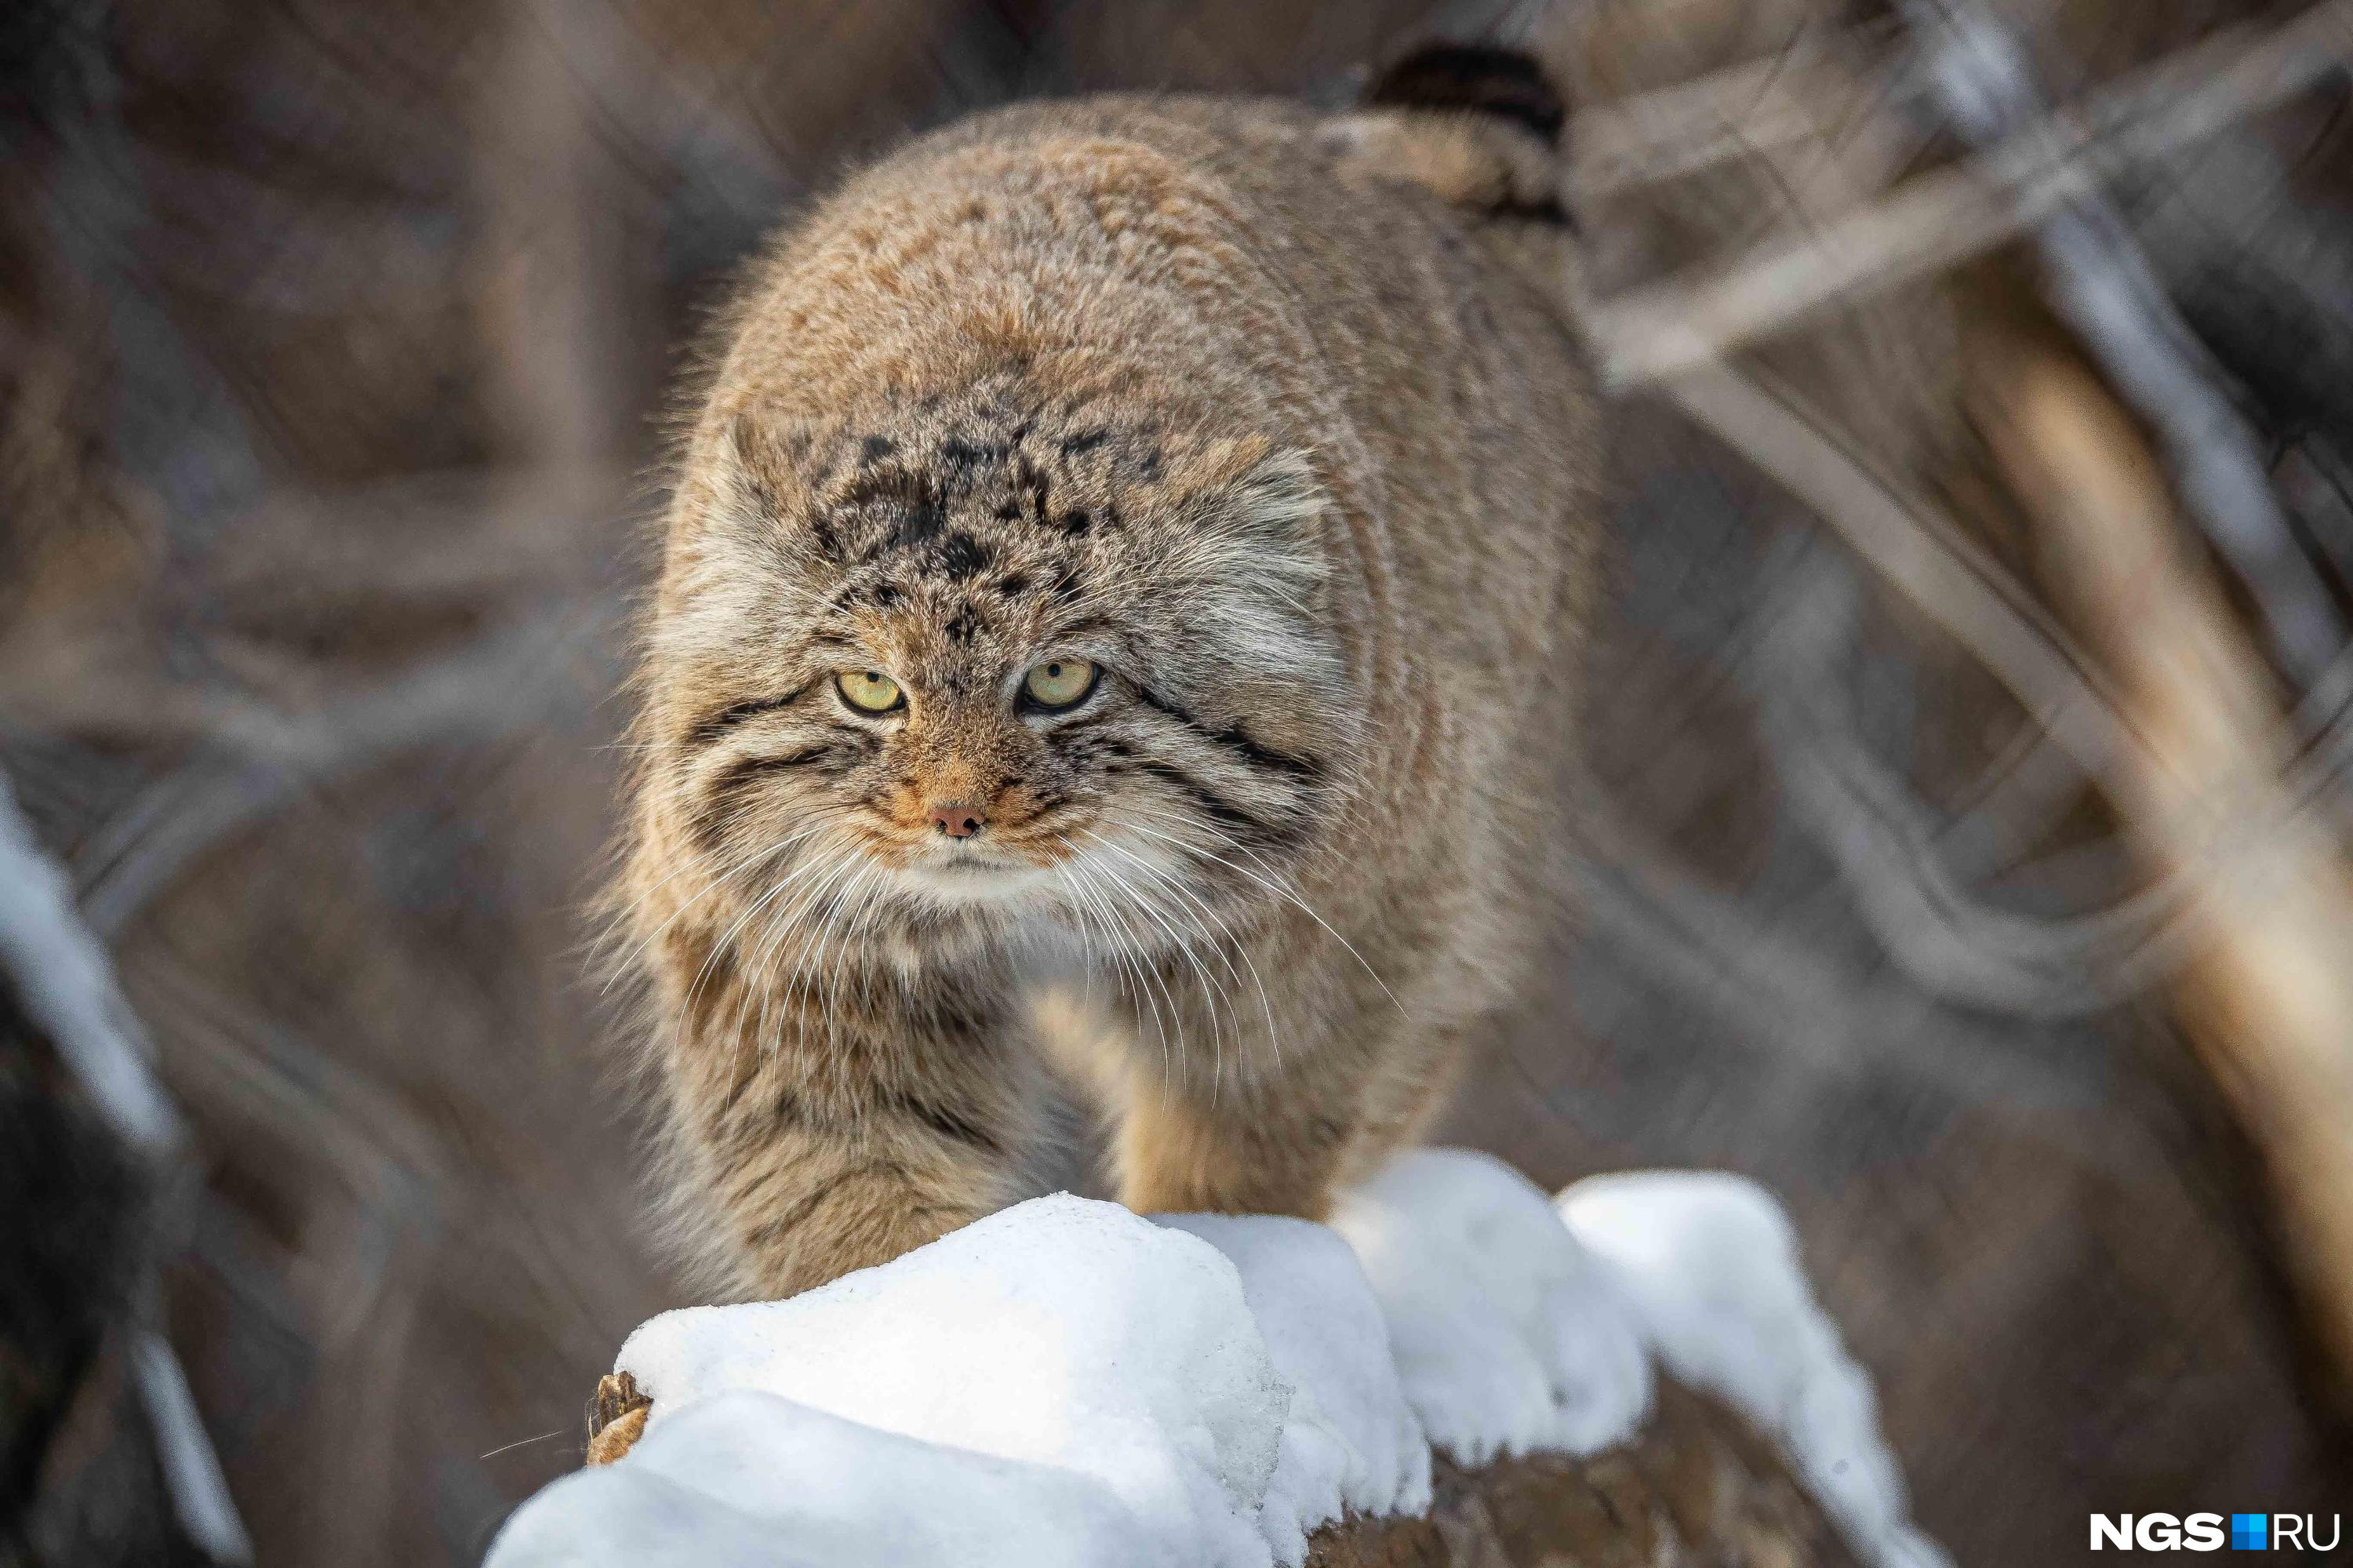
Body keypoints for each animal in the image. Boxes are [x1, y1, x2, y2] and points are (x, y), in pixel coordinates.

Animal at [607, 45, 1609, 1290]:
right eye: (871, 689)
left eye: (1059, 682)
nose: (955, 816)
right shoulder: (780, 935)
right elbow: (847, 1182)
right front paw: (902, 1305)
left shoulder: (1339, 938)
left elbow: (1244, 1148)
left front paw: (1230, 1259)